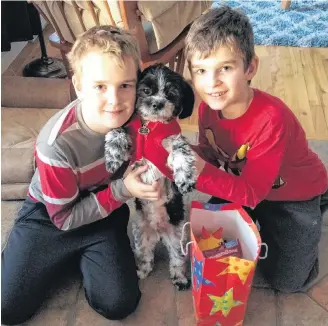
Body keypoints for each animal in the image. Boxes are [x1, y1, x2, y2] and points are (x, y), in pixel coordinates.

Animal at [105, 63, 196, 290]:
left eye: (171, 94)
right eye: (146, 90)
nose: (157, 103)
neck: (150, 128)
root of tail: (158, 231)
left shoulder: (171, 144)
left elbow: (181, 150)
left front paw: (186, 177)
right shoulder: (132, 148)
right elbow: (118, 130)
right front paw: (113, 155)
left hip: (177, 237)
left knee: (177, 259)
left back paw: (180, 278)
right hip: (141, 234)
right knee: (145, 255)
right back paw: (141, 271)